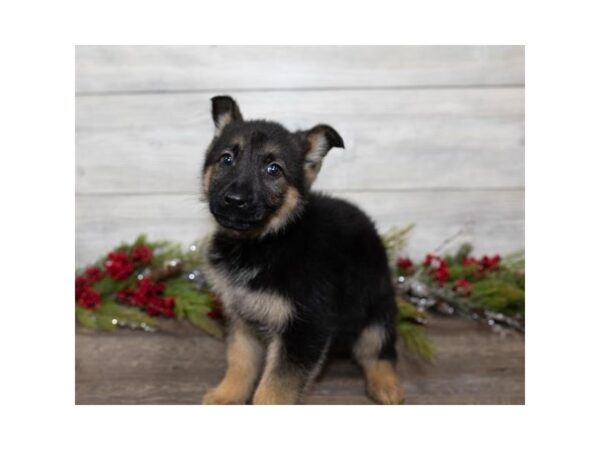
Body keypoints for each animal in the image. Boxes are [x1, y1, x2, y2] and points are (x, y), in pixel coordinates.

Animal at [202, 96, 404, 406]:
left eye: (274, 169)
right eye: (226, 159)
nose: (234, 200)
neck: (267, 241)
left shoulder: (305, 327)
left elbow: (275, 387)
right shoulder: (242, 318)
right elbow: (240, 361)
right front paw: (227, 395)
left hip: (376, 310)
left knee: (379, 350)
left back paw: (386, 384)